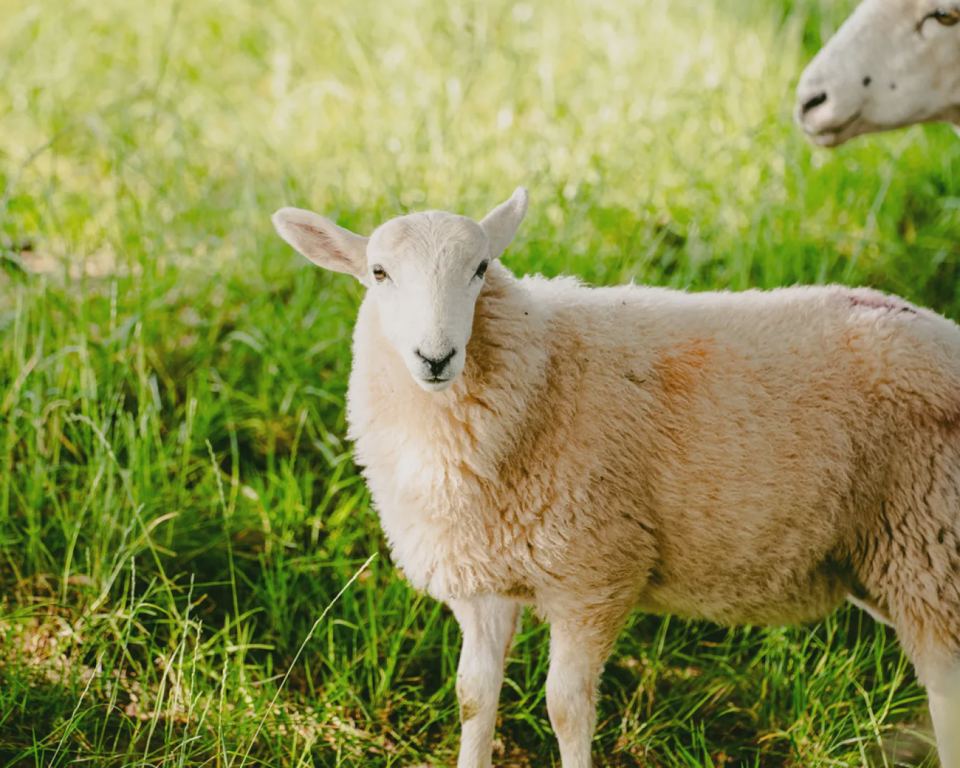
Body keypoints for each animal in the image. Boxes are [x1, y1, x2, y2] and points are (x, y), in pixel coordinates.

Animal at [272, 188, 960, 768]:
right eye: (378, 274)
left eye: (480, 269)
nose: (434, 357)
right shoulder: (483, 579)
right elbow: (473, 696)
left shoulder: (594, 573)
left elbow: (566, 710)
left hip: (932, 548)